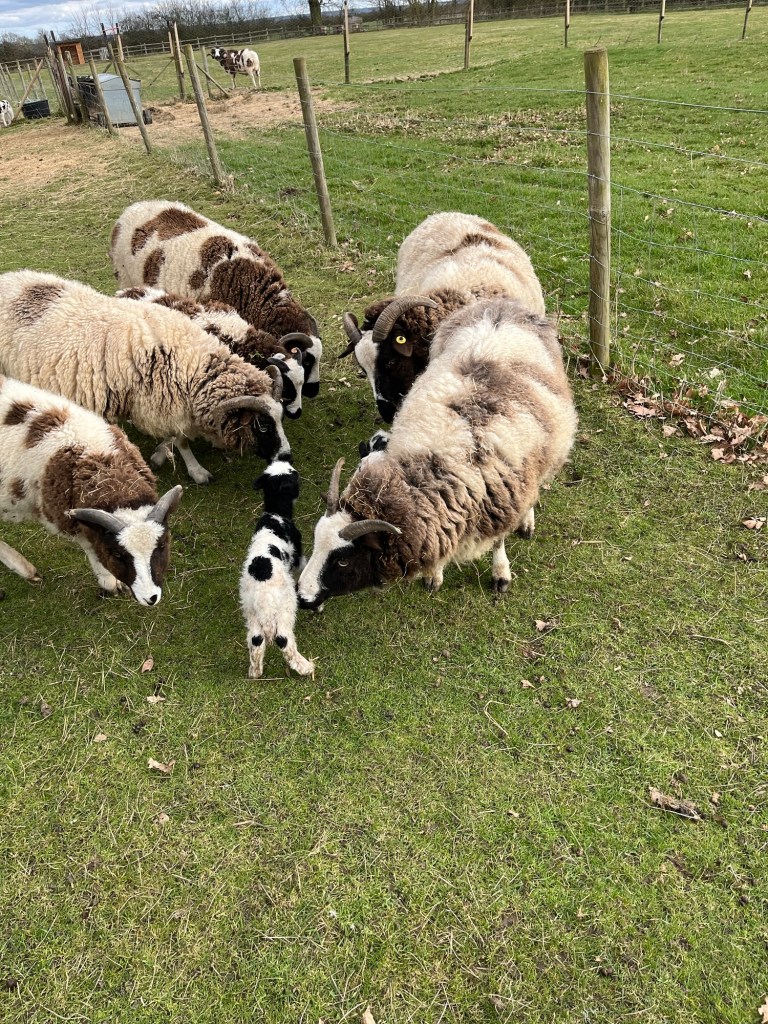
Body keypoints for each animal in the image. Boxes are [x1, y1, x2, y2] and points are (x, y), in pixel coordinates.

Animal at [0, 269, 289, 486]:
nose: (286, 454)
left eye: (280, 417)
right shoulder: (164, 404)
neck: (190, 361)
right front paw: (195, 470)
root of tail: (10, 278)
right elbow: (182, 441)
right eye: (262, 426)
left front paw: (165, 453)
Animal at [0, 374, 182, 603]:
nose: (151, 597)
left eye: (162, 547)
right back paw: (24, 568)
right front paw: (110, 581)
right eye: (117, 554)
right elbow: (90, 545)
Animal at [240, 455, 314, 678]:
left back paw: (255, 672)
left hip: (251, 612)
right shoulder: (298, 556)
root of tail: (264, 600)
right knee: (284, 639)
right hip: (285, 608)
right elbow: (302, 568)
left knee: (256, 640)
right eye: (294, 474)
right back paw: (305, 667)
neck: (275, 513)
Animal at [298, 298, 577, 608]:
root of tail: (500, 304)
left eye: (343, 561)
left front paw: (501, 573)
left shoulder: (503, 497)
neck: (440, 461)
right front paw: (435, 574)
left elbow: (498, 540)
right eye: (315, 541)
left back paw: (527, 522)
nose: (302, 597)